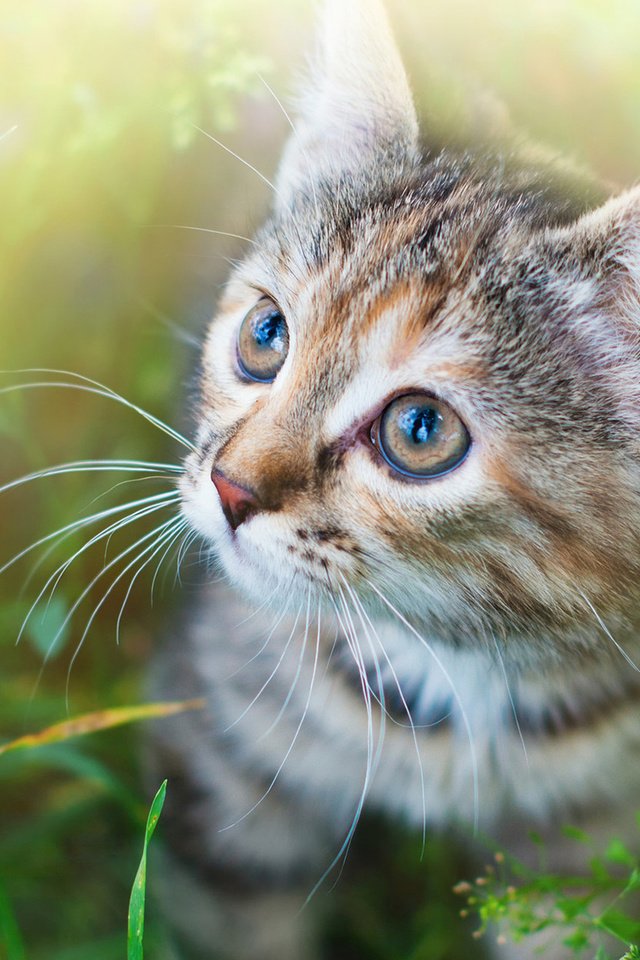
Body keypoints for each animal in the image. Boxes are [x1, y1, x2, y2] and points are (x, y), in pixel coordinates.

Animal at [145, 1, 640, 960]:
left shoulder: (588, 860)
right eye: (265, 335)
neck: (465, 671)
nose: (230, 489)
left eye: (421, 430)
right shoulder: (225, 762)